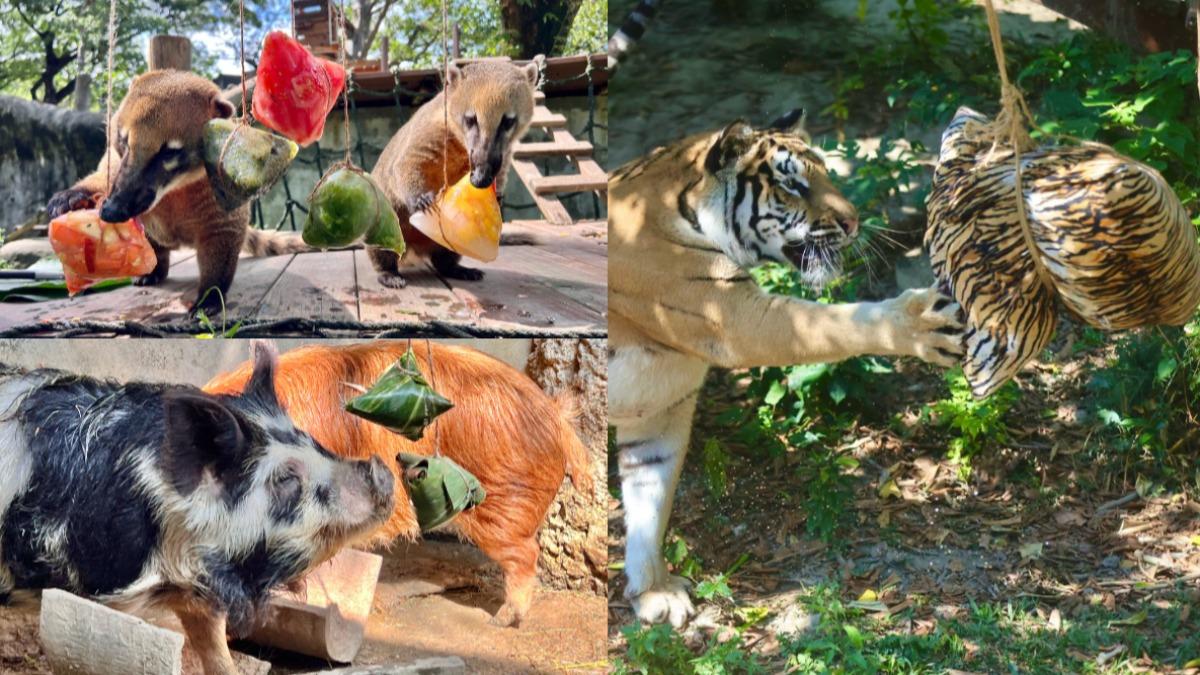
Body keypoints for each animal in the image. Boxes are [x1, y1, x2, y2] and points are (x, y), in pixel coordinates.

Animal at [608, 110, 966, 627]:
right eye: (793, 185)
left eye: (827, 172)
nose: (853, 222)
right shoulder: (732, 317)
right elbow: (837, 323)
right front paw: (920, 322)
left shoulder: (659, 409)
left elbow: (649, 505)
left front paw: (653, 592)